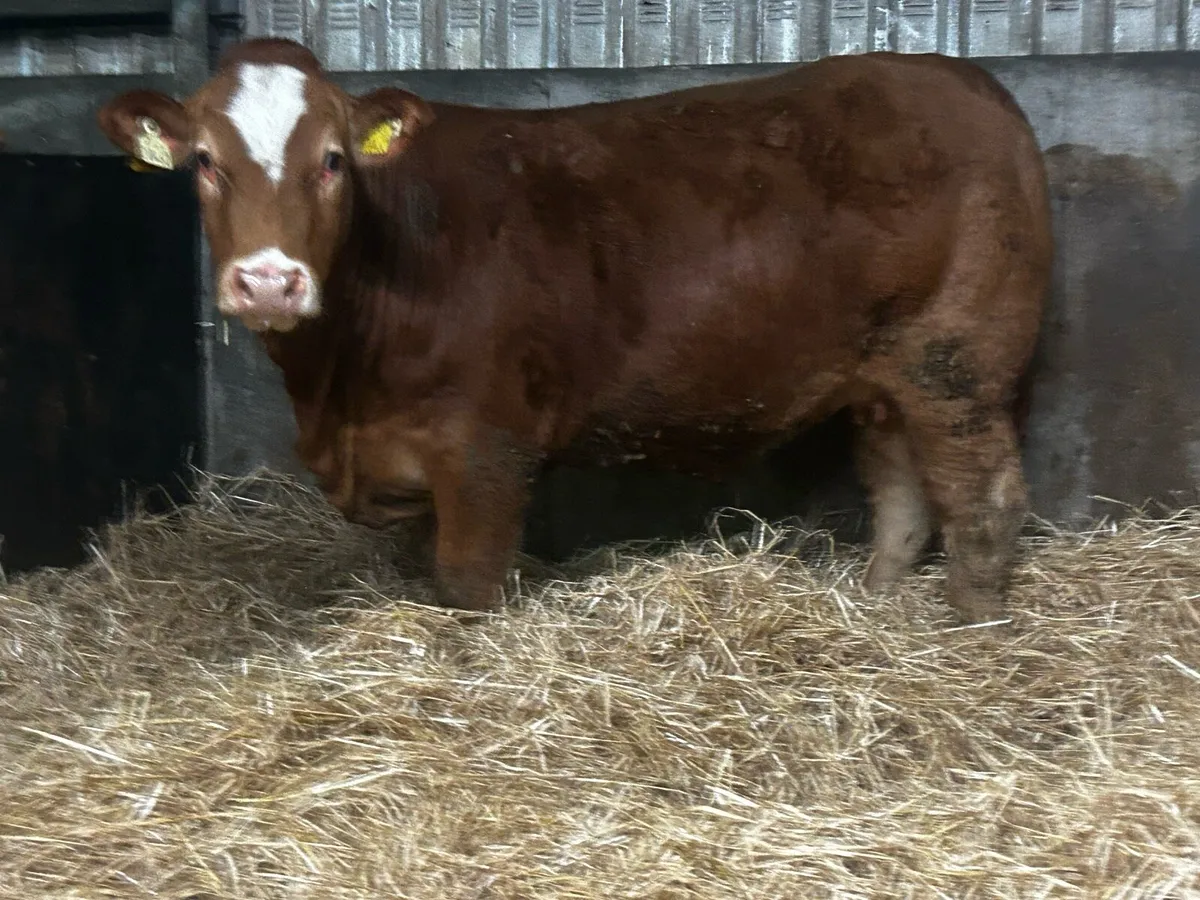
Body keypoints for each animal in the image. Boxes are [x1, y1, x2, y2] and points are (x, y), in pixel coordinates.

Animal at [97, 38, 1052, 624]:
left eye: (332, 159)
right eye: (205, 161)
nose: (269, 279)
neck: (339, 393)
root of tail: (965, 81)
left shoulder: (485, 450)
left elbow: (468, 582)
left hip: (958, 363)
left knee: (983, 500)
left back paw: (969, 629)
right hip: (888, 375)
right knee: (903, 493)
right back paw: (882, 605)